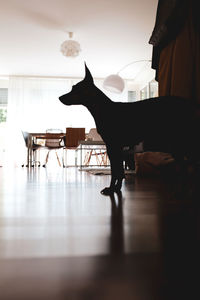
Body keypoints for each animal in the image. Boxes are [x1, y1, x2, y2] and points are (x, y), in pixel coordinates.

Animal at [59, 63, 200, 195]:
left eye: (75, 88)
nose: (60, 98)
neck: (103, 108)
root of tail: (190, 104)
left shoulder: (112, 146)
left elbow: (115, 171)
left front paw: (111, 189)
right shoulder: (117, 148)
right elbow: (120, 171)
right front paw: (117, 188)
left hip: (181, 143)